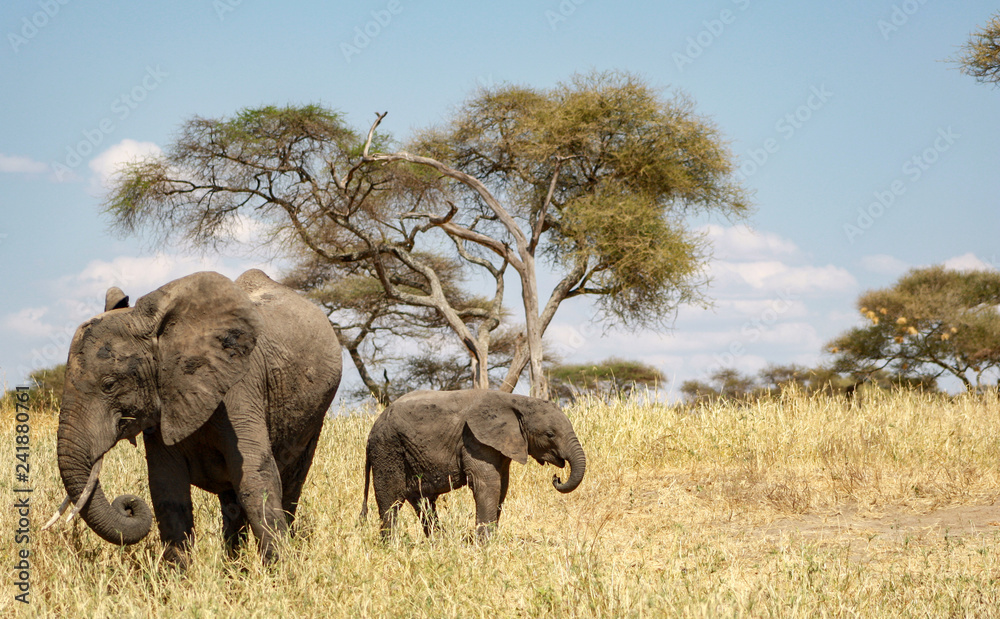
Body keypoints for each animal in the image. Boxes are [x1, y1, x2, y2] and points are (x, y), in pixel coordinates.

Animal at [46, 269, 342, 564]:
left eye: (109, 385)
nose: (128, 506)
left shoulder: (239, 388)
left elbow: (255, 477)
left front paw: (280, 569)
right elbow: (167, 489)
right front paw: (178, 576)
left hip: (314, 415)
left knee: (290, 483)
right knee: (231, 503)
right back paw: (233, 568)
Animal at [360, 389, 586, 540]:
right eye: (550, 434)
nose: (556, 478)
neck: (517, 401)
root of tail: (372, 431)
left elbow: (502, 486)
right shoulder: (474, 440)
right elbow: (487, 483)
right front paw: (485, 544)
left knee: (422, 501)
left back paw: (439, 542)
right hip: (388, 448)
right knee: (391, 499)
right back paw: (391, 545)